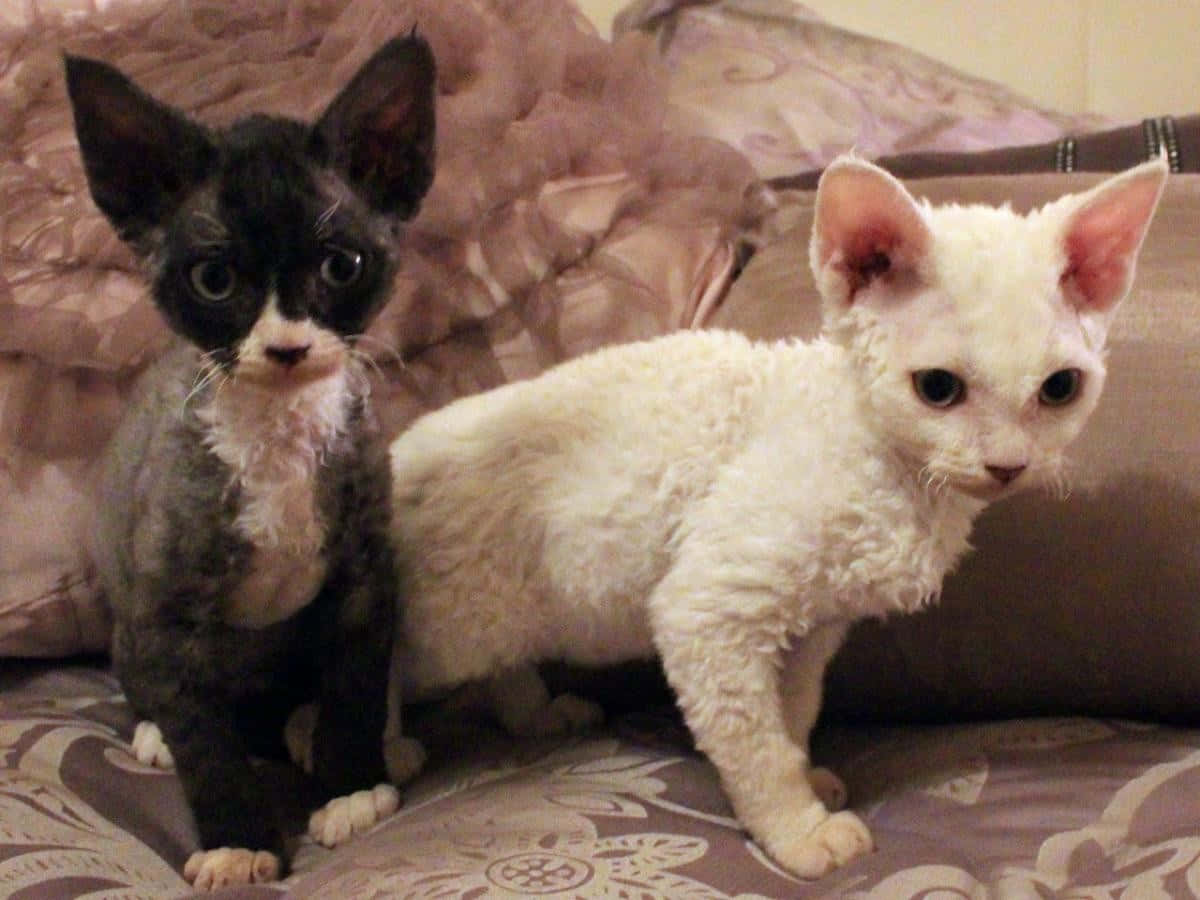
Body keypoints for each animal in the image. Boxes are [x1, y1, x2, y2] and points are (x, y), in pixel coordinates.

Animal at [65, 33, 436, 888]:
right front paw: (238, 841)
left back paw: (337, 735)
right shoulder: (168, 610)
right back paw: (159, 734)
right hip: (131, 628)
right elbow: (206, 741)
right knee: (173, 700)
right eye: (215, 278)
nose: (288, 346)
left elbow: (356, 682)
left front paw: (351, 785)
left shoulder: (364, 579)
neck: (279, 436)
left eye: (341, 267)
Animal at [381, 157, 1161, 883]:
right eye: (938, 388)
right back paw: (376, 771)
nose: (1008, 465)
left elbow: (794, 710)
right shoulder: (706, 611)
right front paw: (797, 829)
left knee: (496, 660)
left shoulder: (815, 623)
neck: (898, 478)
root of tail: (396, 451)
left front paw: (806, 778)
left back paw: (534, 714)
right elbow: (755, 747)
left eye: (1060, 389)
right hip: (444, 623)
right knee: (377, 665)